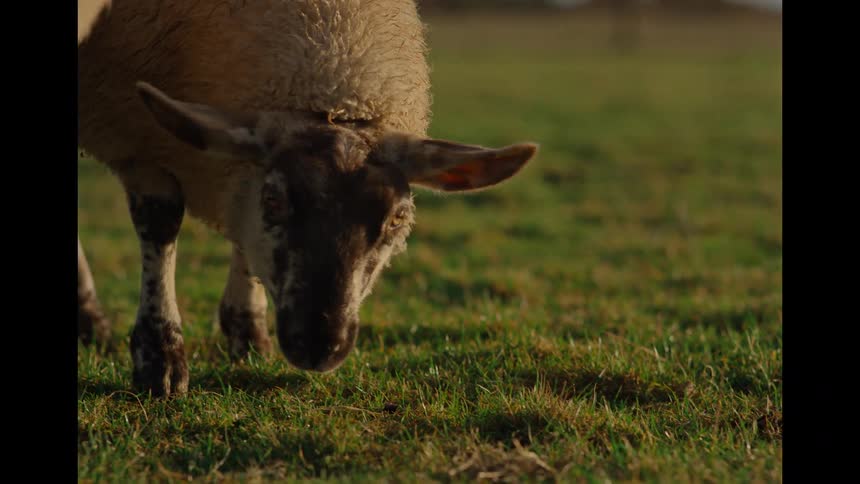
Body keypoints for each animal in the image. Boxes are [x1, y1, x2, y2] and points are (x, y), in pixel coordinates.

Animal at [78, 0, 538, 397]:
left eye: (397, 220)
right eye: (274, 200)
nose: (319, 346)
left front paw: (248, 333)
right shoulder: (136, 138)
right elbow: (161, 223)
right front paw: (160, 357)